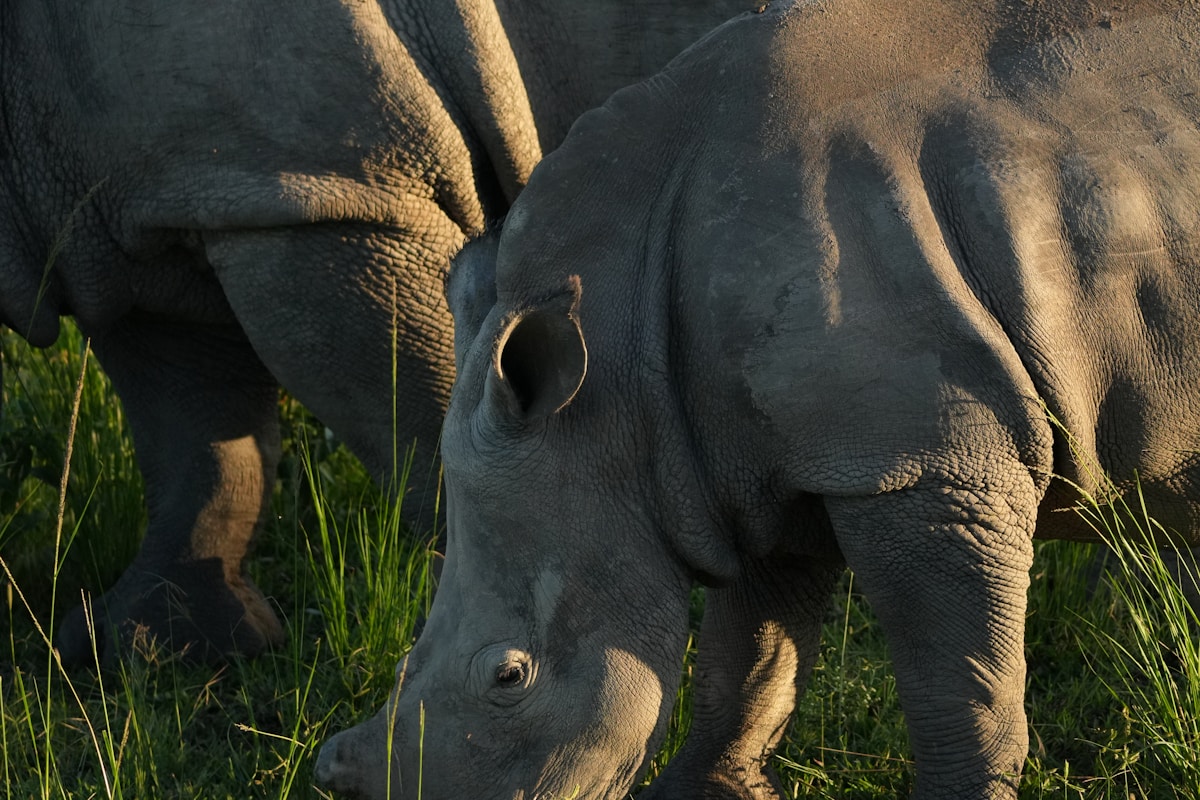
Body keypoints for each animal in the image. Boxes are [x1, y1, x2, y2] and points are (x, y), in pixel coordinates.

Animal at [315, 0, 1200, 798]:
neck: (612, 376)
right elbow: (749, 653)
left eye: (508, 676)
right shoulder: (745, 456)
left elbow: (959, 685)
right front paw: (705, 790)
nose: (332, 775)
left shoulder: (920, 464)